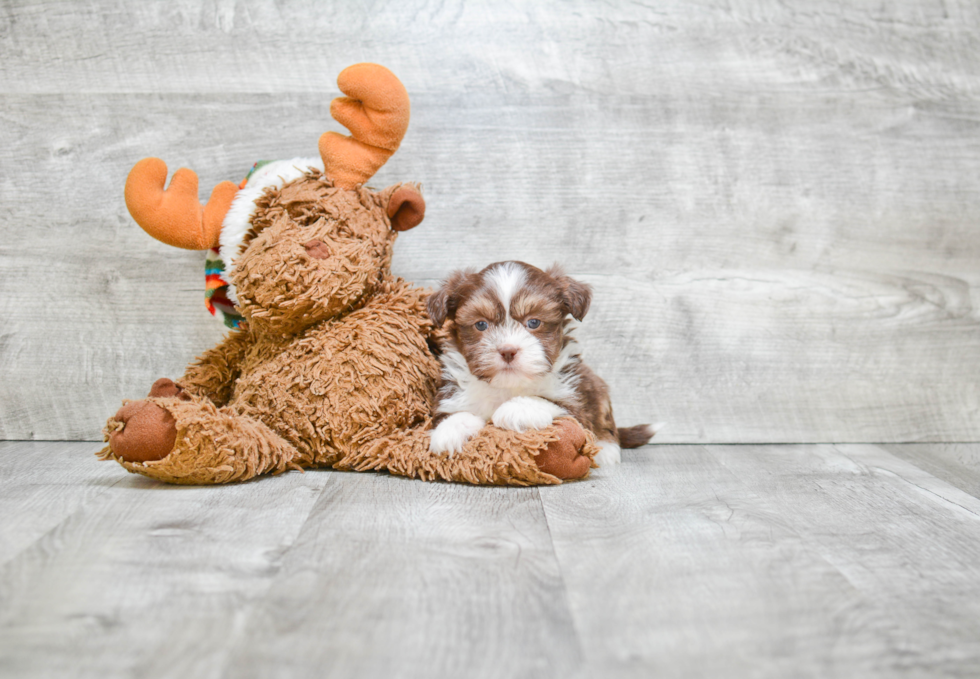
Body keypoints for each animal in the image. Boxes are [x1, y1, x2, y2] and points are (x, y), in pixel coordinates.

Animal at [424, 260, 656, 468]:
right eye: (481, 324)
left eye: (533, 322)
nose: (508, 350)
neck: (507, 386)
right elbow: (456, 412)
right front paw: (450, 430)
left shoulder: (576, 404)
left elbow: (550, 402)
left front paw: (516, 408)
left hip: (595, 387)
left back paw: (606, 449)